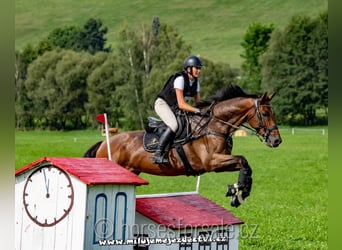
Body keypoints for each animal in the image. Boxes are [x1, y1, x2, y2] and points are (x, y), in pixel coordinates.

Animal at [84, 85, 282, 208]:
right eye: (265, 113)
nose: (276, 141)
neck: (214, 126)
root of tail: (104, 143)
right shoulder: (212, 162)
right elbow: (243, 160)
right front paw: (238, 192)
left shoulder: (218, 164)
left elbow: (245, 164)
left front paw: (239, 192)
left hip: (132, 171)